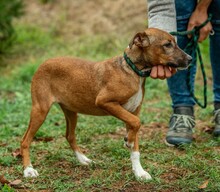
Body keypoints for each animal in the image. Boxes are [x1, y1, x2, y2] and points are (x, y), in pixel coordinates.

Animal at [21, 27, 192, 179]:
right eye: (167, 45)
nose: (190, 59)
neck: (132, 70)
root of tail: (44, 63)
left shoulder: (133, 111)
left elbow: (135, 144)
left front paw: (139, 172)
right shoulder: (105, 102)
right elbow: (136, 122)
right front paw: (128, 140)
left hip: (71, 111)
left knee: (69, 136)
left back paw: (83, 159)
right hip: (40, 110)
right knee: (25, 140)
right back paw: (28, 170)